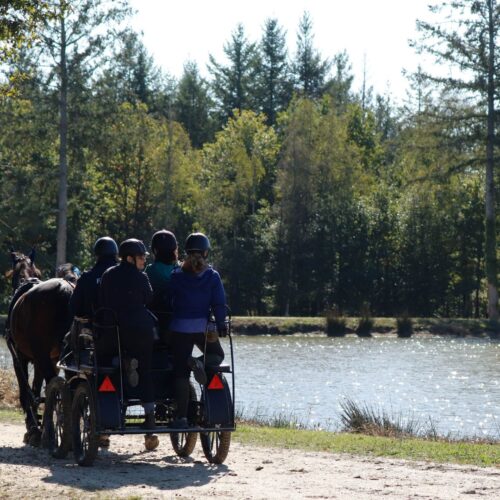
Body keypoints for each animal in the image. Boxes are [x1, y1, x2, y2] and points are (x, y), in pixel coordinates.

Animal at [5, 250, 76, 446]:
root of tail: (63, 289)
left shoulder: (20, 357)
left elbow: (26, 391)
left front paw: (33, 426)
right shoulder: (49, 359)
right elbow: (37, 388)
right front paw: (38, 424)